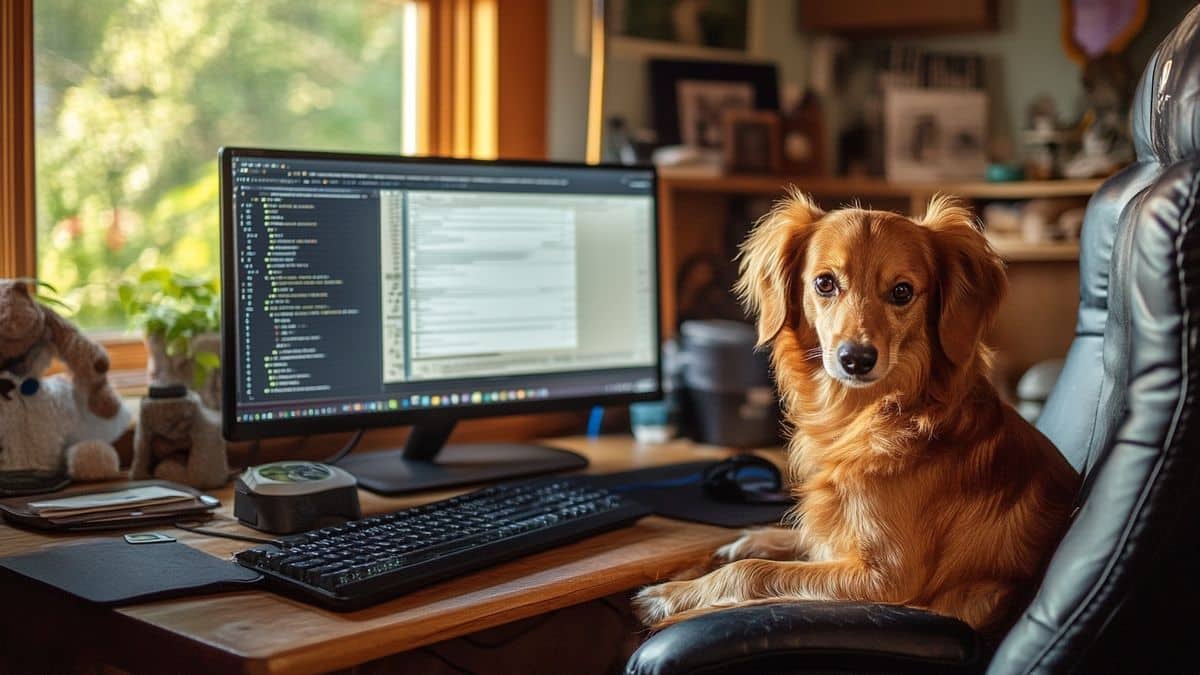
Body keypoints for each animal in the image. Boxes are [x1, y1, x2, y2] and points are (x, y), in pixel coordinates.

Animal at [633, 192, 1084, 634]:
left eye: (902, 291)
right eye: (824, 283)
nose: (856, 359)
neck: (874, 415)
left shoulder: (887, 578)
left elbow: (755, 572)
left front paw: (669, 594)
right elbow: (801, 535)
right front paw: (744, 541)